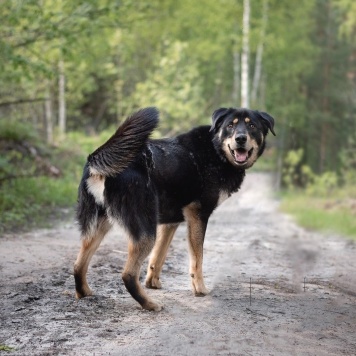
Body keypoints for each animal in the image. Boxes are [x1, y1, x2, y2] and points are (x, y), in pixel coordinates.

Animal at [74, 106, 276, 312]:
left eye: (252, 125)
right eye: (230, 126)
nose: (240, 138)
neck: (215, 150)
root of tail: (97, 157)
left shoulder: (170, 223)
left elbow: (158, 257)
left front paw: (152, 283)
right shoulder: (198, 215)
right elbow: (197, 259)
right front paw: (200, 289)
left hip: (99, 227)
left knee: (78, 265)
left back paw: (85, 293)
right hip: (145, 231)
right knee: (128, 274)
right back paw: (150, 304)